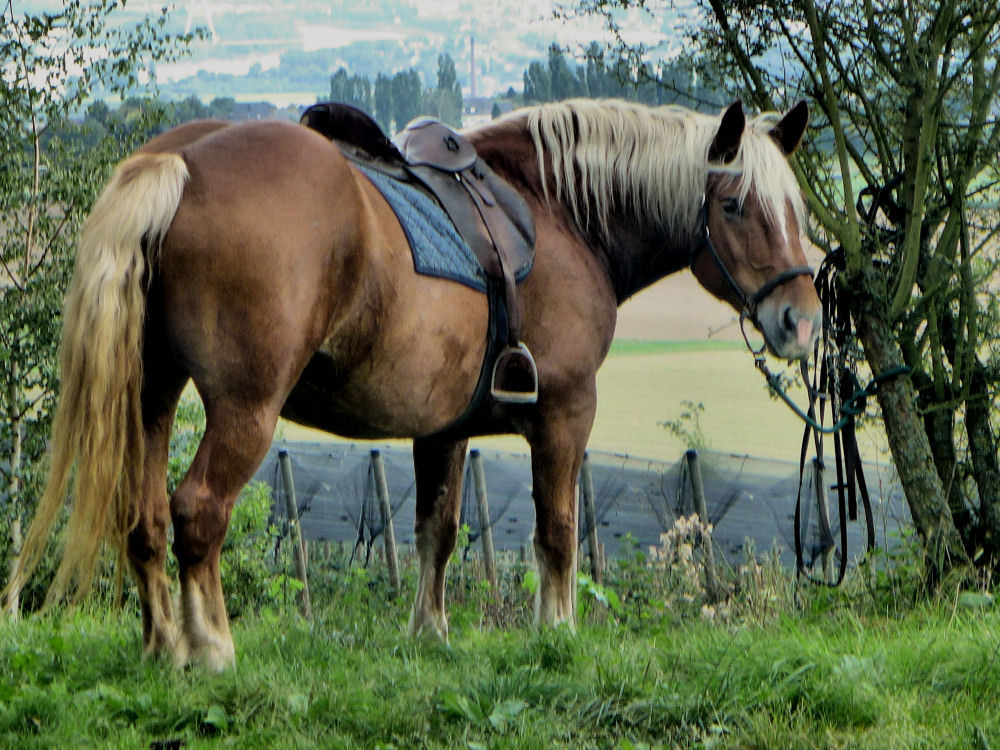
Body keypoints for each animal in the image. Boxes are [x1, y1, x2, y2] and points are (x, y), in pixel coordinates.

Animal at [5, 98, 820, 668]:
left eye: (798, 210)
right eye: (735, 205)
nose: (801, 321)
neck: (559, 213)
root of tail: (182, 162)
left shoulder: (444, 430)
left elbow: (438, 530)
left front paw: (430, 634)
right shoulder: (564, 414)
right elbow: (557, 532)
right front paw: (556, 634)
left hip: (152, 394)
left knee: (142, 519)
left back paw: (164, 647)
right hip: (244, 408)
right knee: (197, 511)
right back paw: (211, 650)